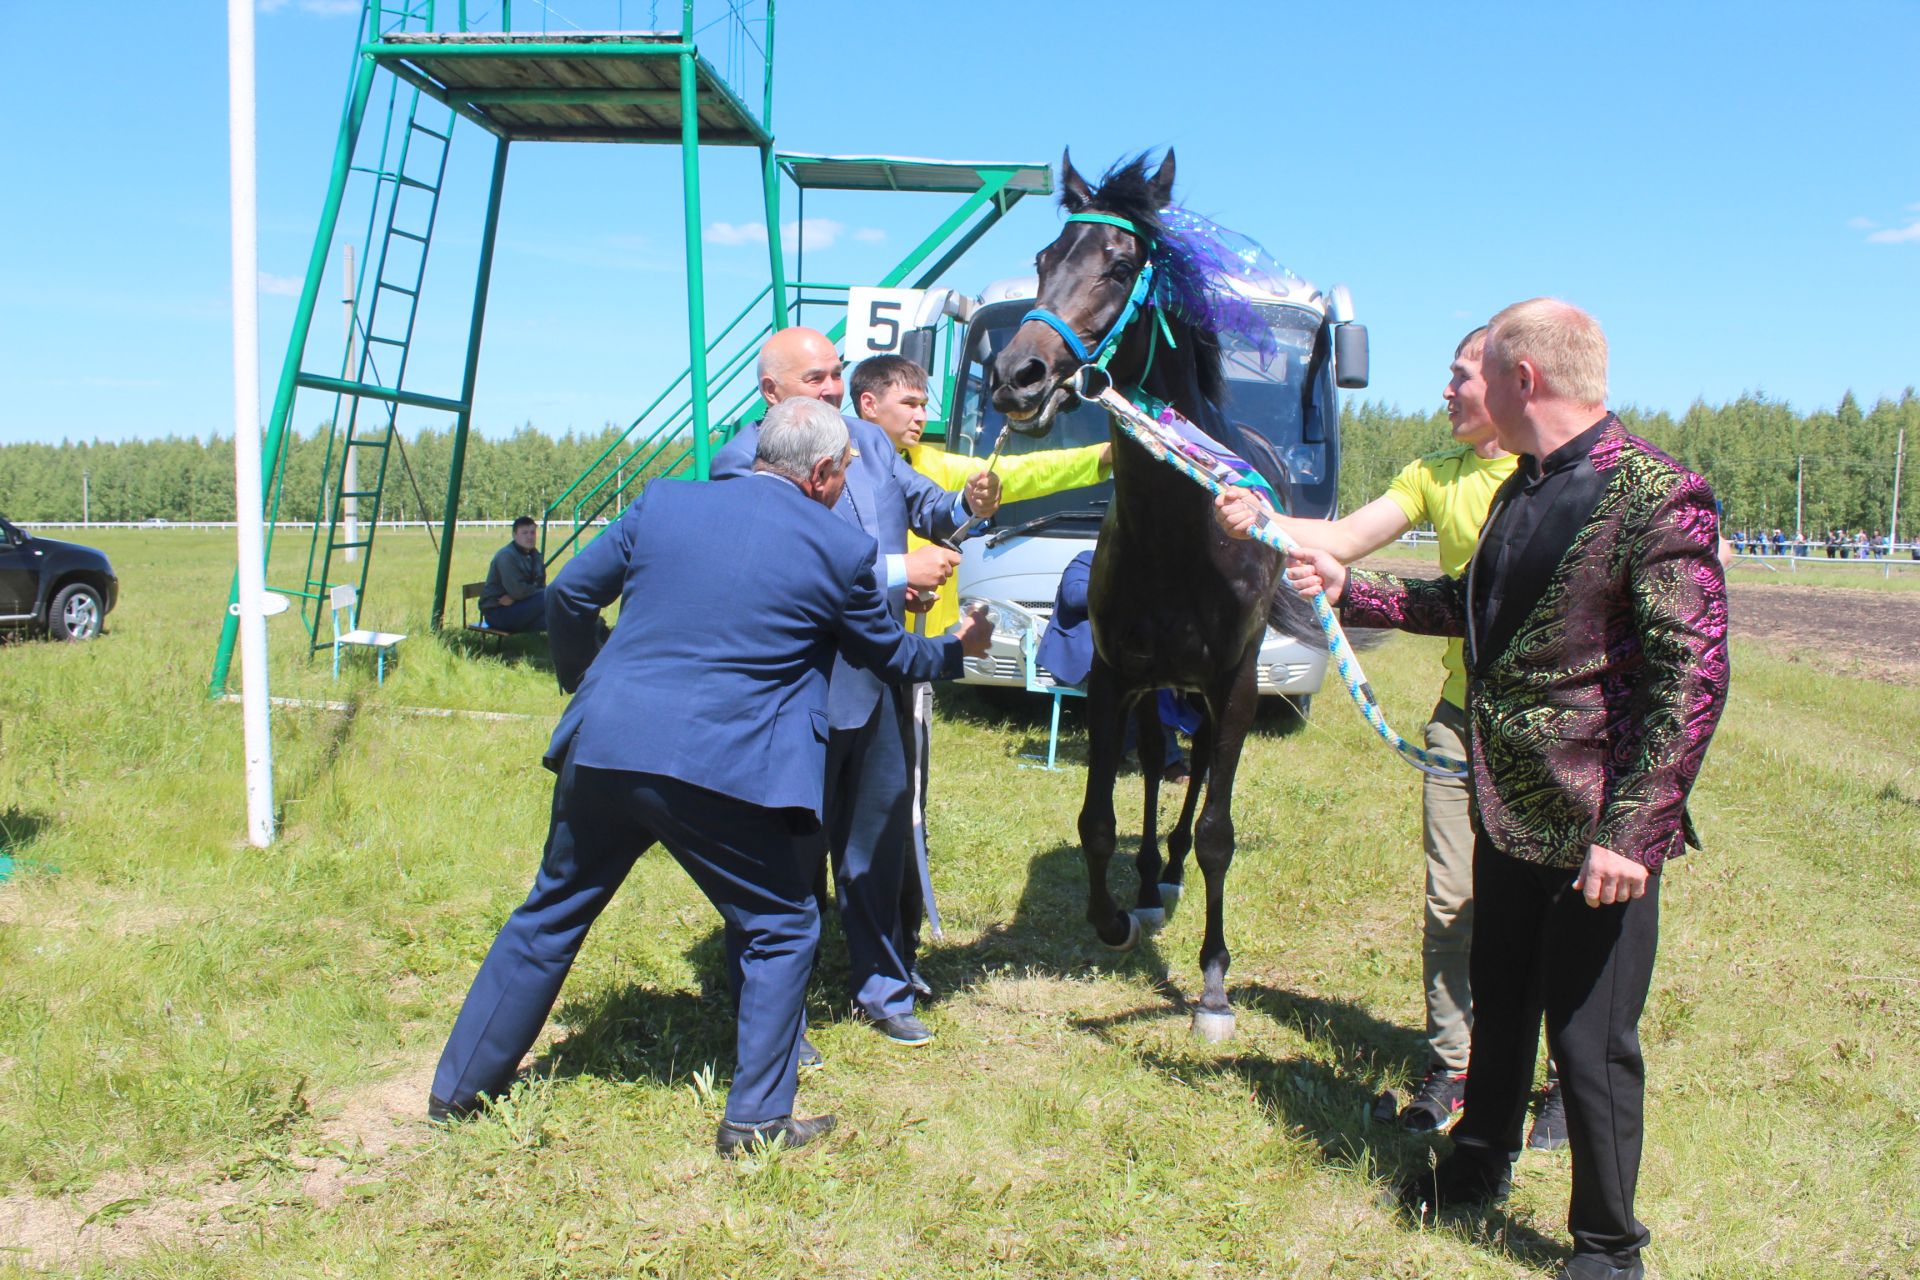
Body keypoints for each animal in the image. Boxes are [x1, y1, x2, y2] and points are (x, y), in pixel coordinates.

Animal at [990, 150, 1320, 1043]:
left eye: (1120, 263)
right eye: (1043, 258)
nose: (1017, 377)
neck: (1185, 533)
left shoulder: (1235, 685)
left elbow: (1216, 832)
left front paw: (1212, 983)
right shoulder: (1112, 677)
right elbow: (1097, 817)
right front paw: (1114, 918)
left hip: (1208, 693)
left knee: (1198, 773)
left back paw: (1169, 876)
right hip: (1157, 690)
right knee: (1152, 773)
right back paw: (1146, 884)